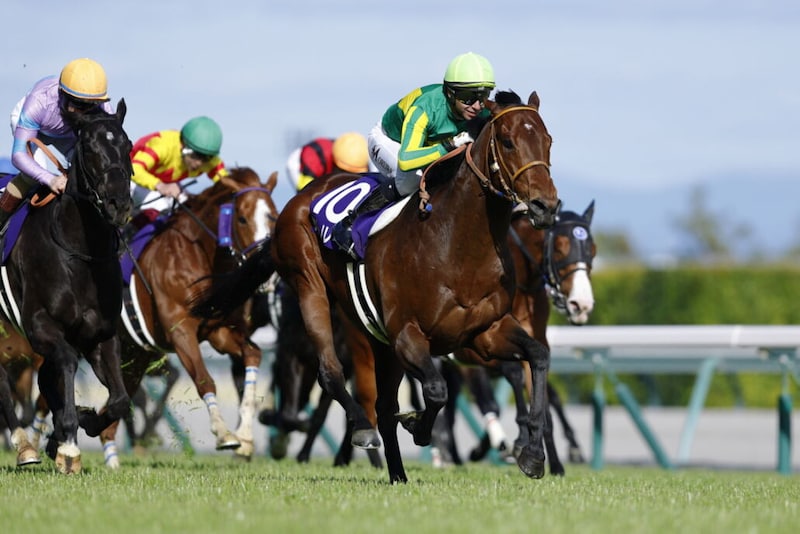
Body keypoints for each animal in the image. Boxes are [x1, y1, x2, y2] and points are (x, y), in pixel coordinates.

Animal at [1, 101, 133, 473]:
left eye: (128, 145)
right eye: (88, 148)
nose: (119, 204)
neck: (80, 252)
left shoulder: (100, 334)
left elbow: (120, 400)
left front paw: (75, 427)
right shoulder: (40, 326)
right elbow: (68, 363)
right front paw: (69, 444)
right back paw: (23, 446)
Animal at [97, 168, 279, 466]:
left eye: (273, 216)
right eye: (242, 218)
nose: (268, 276)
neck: (196, 255)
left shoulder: (218, 330)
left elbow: (253, 354)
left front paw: (245, 439)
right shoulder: (180, 331)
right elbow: (204, 379)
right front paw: (224, 435)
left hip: (134, 356)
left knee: (113, 409)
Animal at [192, 90, 561, 483]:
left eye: (548, 140)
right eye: (507, 142)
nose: (545, 205)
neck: (459, 244)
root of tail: (302, 197)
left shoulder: (484, 333)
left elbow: (538, 357)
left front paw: (532, 454)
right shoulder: (407, 335)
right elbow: (436, 390)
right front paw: (418, 427)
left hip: (380, 341)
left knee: (382, 406)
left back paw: (398, 474)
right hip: (311, 286)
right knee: (333, 375)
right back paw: (361, 429)